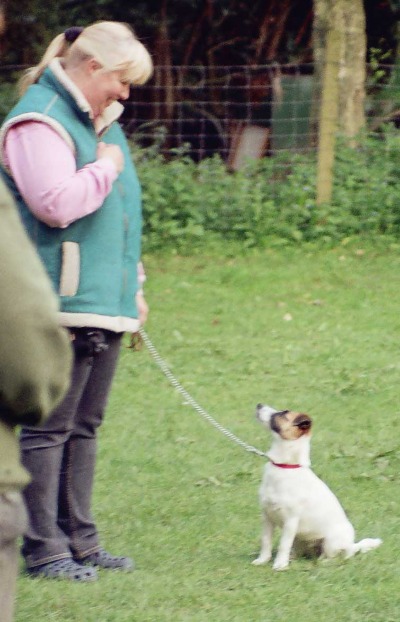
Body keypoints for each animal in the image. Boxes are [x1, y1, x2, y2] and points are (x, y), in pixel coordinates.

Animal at [253, 408, 382, 572]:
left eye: (282, 414)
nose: (259, 405)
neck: (285, 466)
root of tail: (352, 546)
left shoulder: (290, 520)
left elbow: (283, 545)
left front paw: (280, 564)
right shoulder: (267, 516)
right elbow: (266, 541)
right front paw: (263, 560)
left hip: (331, 541)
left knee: (336, 556)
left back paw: (322, 562)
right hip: (299, 539)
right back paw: (294, 558)